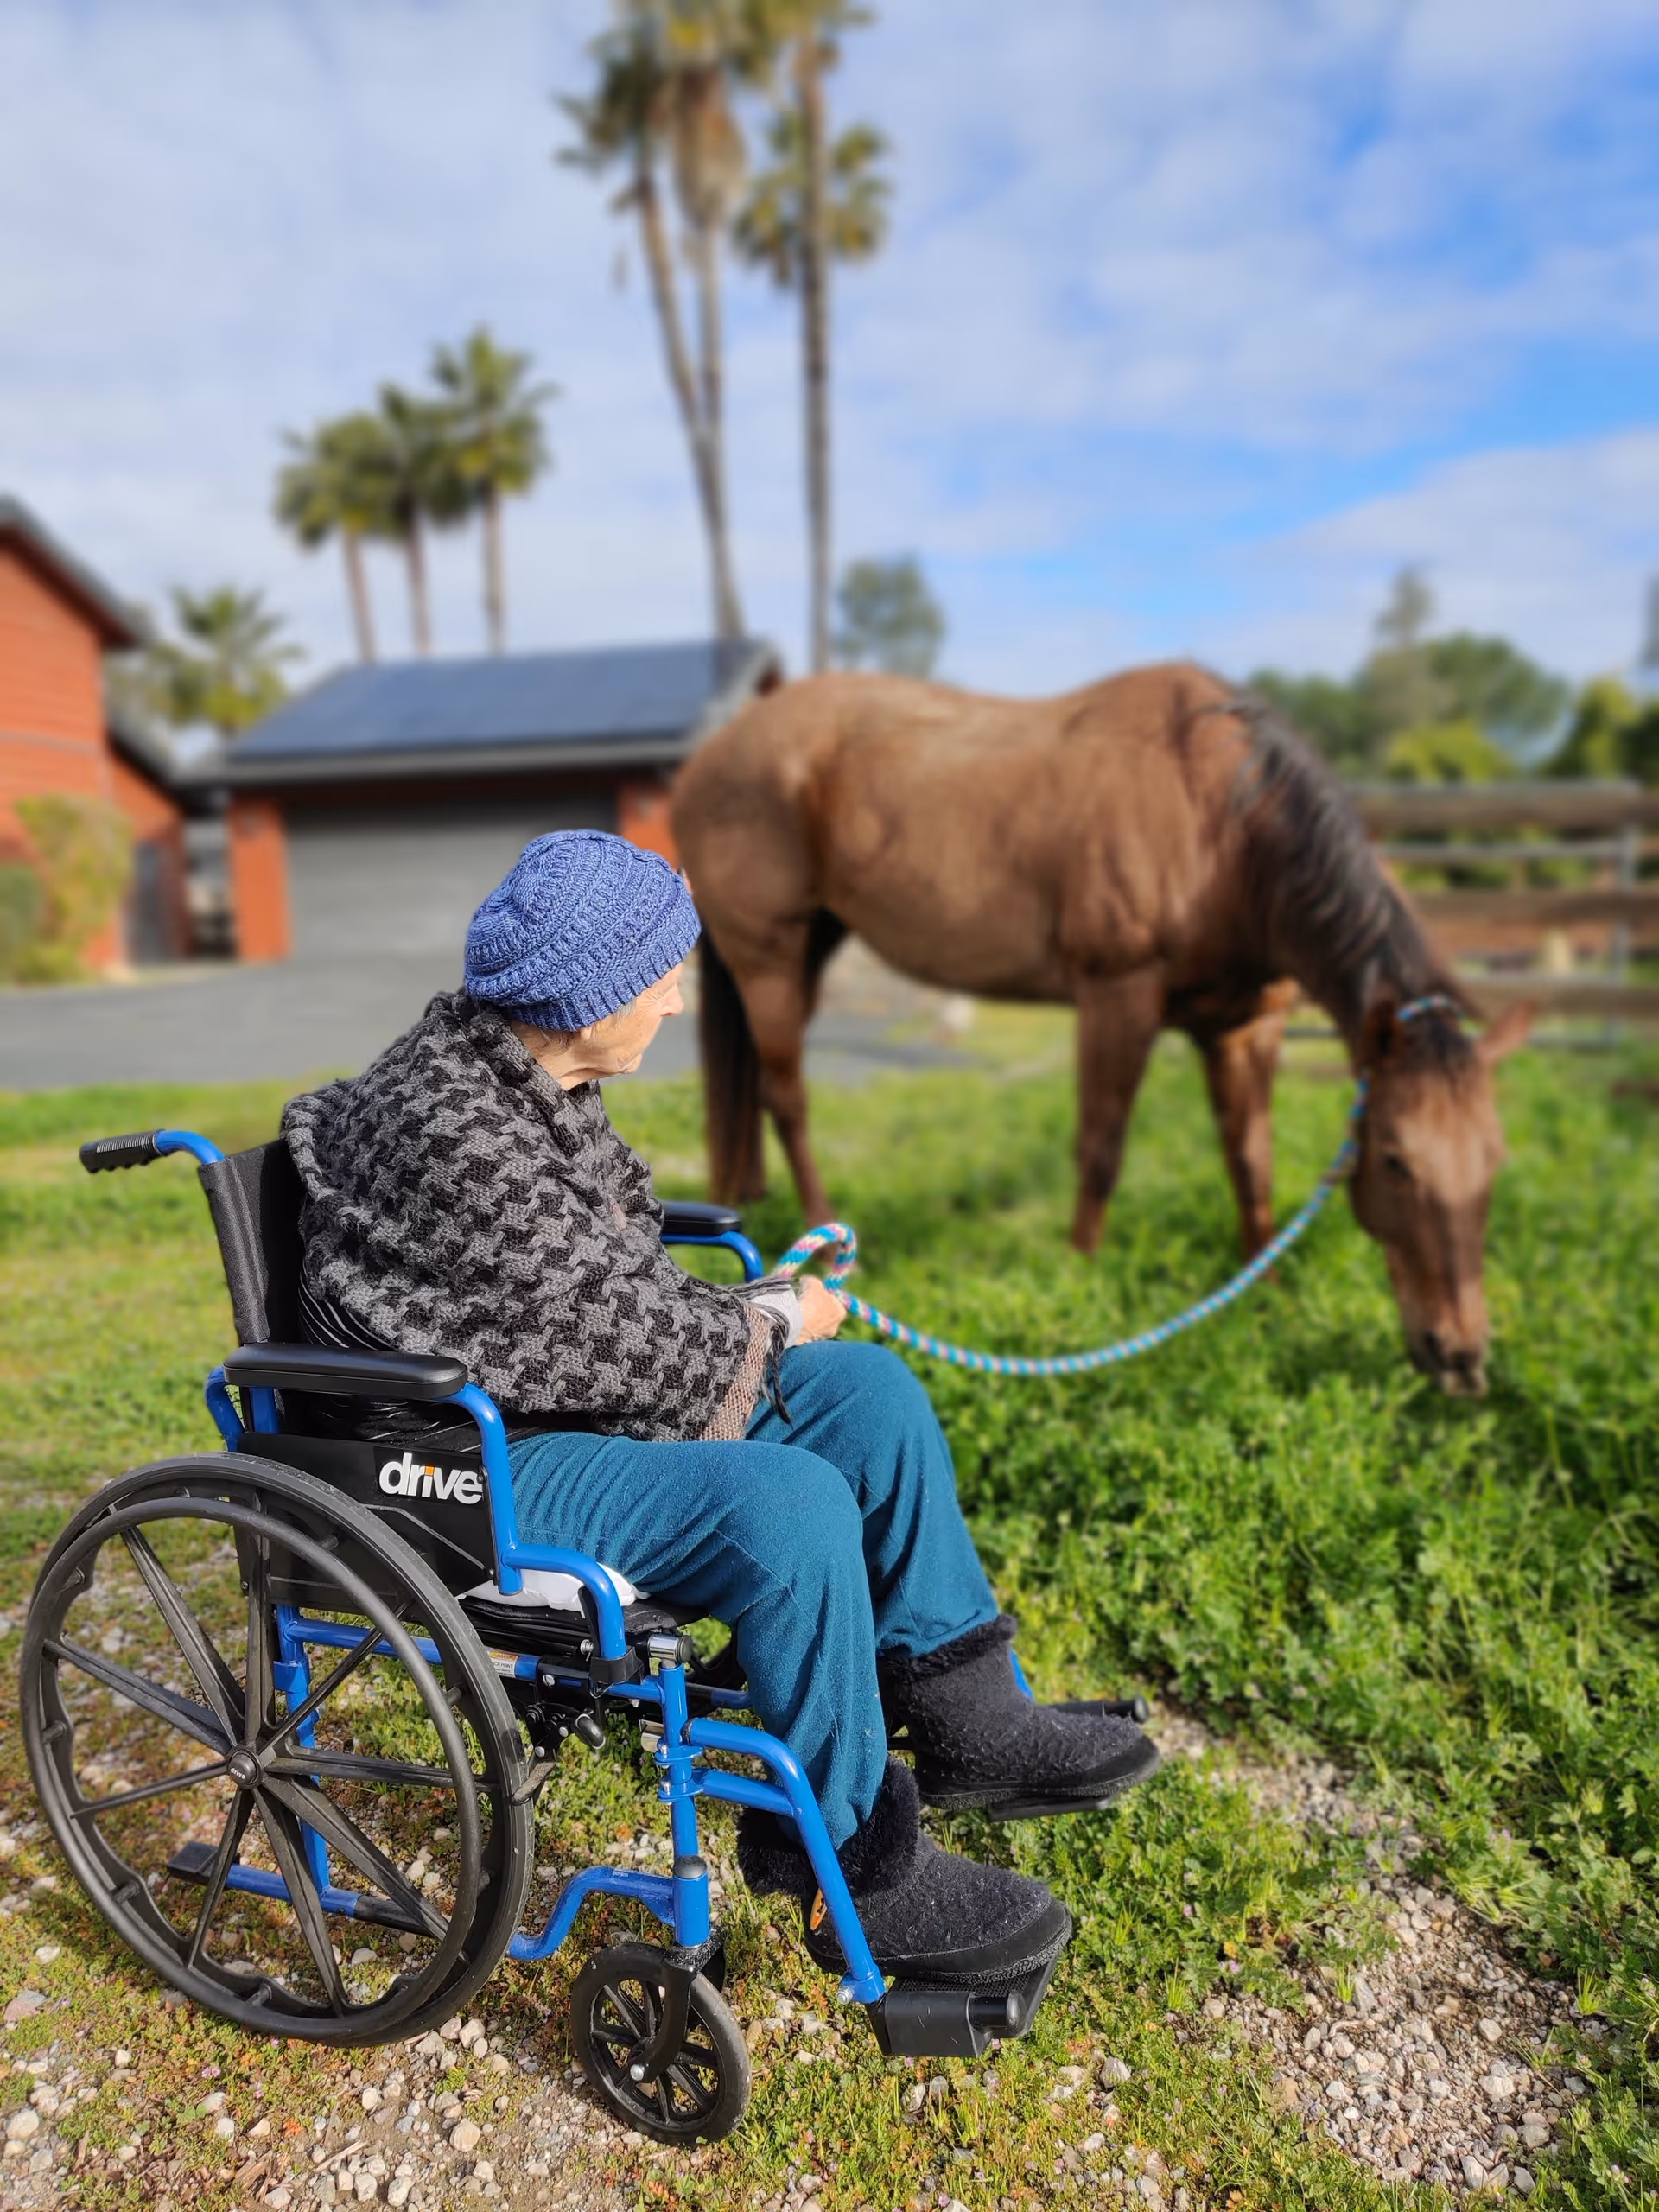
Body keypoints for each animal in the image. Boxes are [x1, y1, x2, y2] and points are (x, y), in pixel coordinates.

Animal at [671, 661, 1530, 1396]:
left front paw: (1266, 1285)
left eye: (1495, 1161)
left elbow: (1251, 1158)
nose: (1460, 1357)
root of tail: (710, 754)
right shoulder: (1119, 994)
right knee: (790, 1094)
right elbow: (1101, 1148)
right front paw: (1080, 1272)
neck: (1222, 818)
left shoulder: (1246, 1028)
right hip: (769, 950)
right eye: (1394, 1161)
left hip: (810, 945)